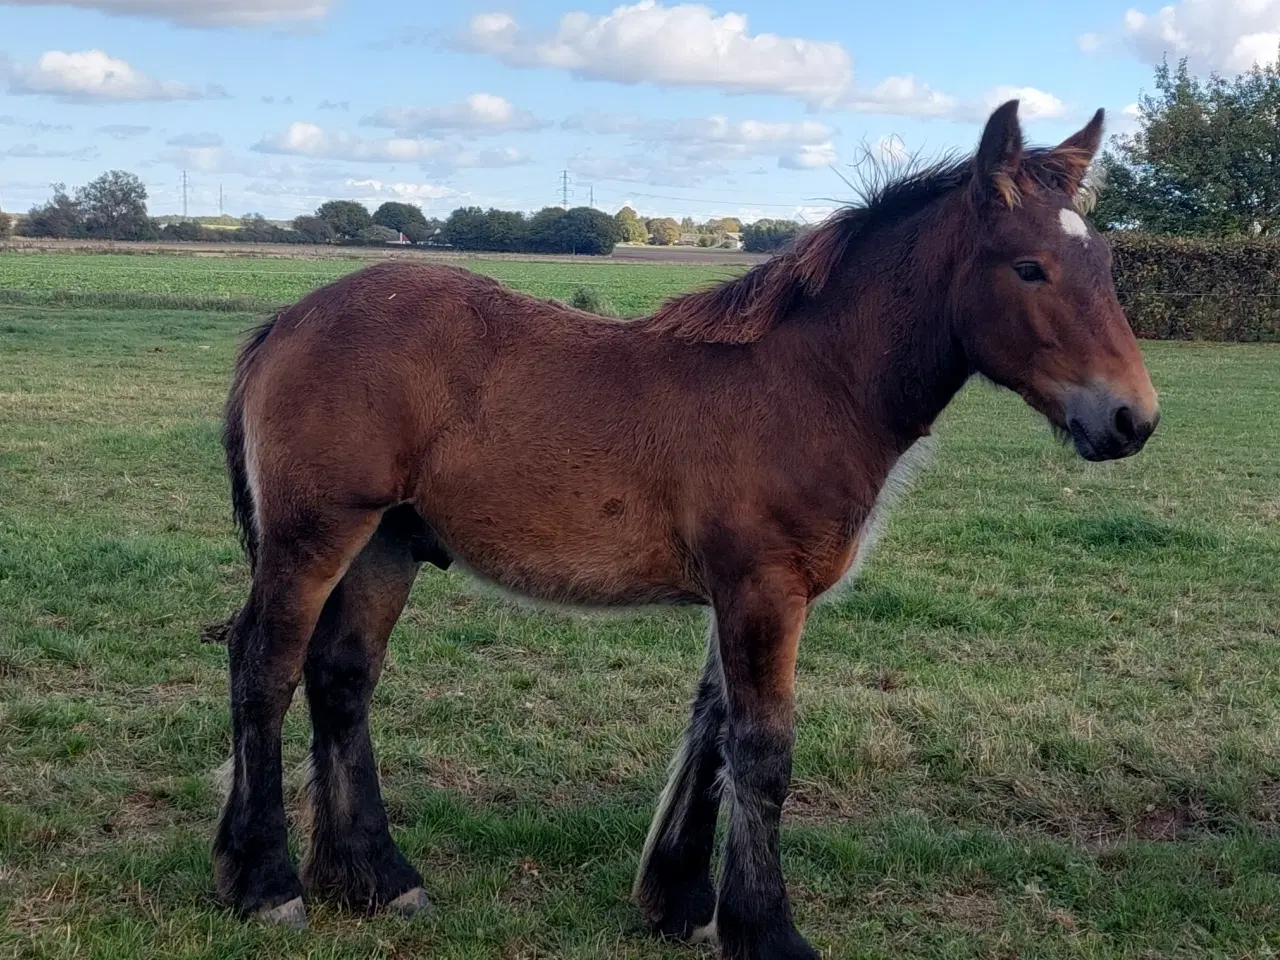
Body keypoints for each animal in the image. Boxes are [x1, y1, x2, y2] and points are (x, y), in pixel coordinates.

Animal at [212, 101, 1162, 957]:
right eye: (1029, 267)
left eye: (1106, 260)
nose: (1131, 420)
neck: (810, 384)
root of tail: (287, 319)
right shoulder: (765, 590)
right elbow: (762, 749)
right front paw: (768, 932)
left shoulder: (737, 594)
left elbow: (713, 732)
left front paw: (683, 903)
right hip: (315, 535)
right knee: (265, 666)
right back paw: (267, 885)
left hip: (387, 542)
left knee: (342, 677)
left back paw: (377, 879)